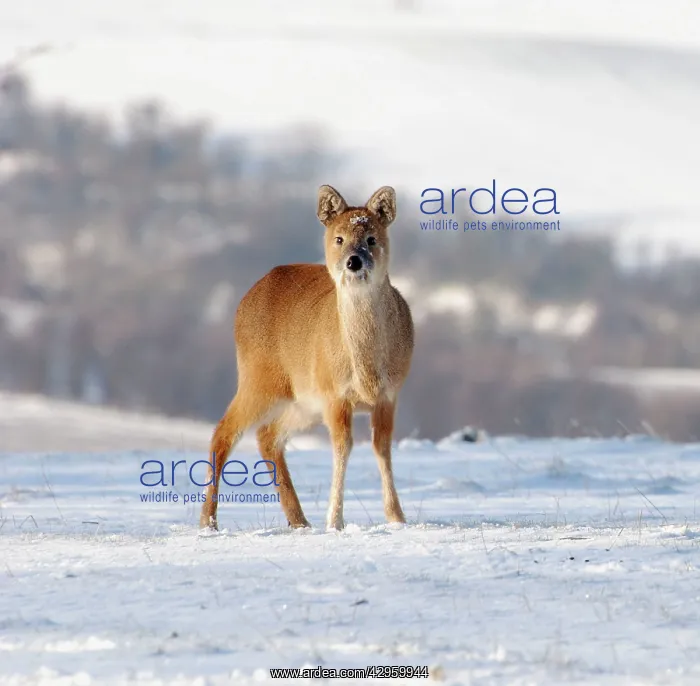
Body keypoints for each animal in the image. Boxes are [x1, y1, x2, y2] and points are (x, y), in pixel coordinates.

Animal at [199, 185, 414, 532]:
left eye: (371, 238)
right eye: (339, 238)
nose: (354, 262)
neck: (365, 364)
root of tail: (246, 298)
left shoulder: (389, 394)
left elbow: (382, 449)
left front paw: (396, 517)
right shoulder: (335, 393)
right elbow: (343, 447)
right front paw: (335, 520)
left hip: (302, 400)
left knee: (268, 436)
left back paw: (298, 520)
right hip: (259, 378)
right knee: (224, 433)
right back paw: (208, 521)